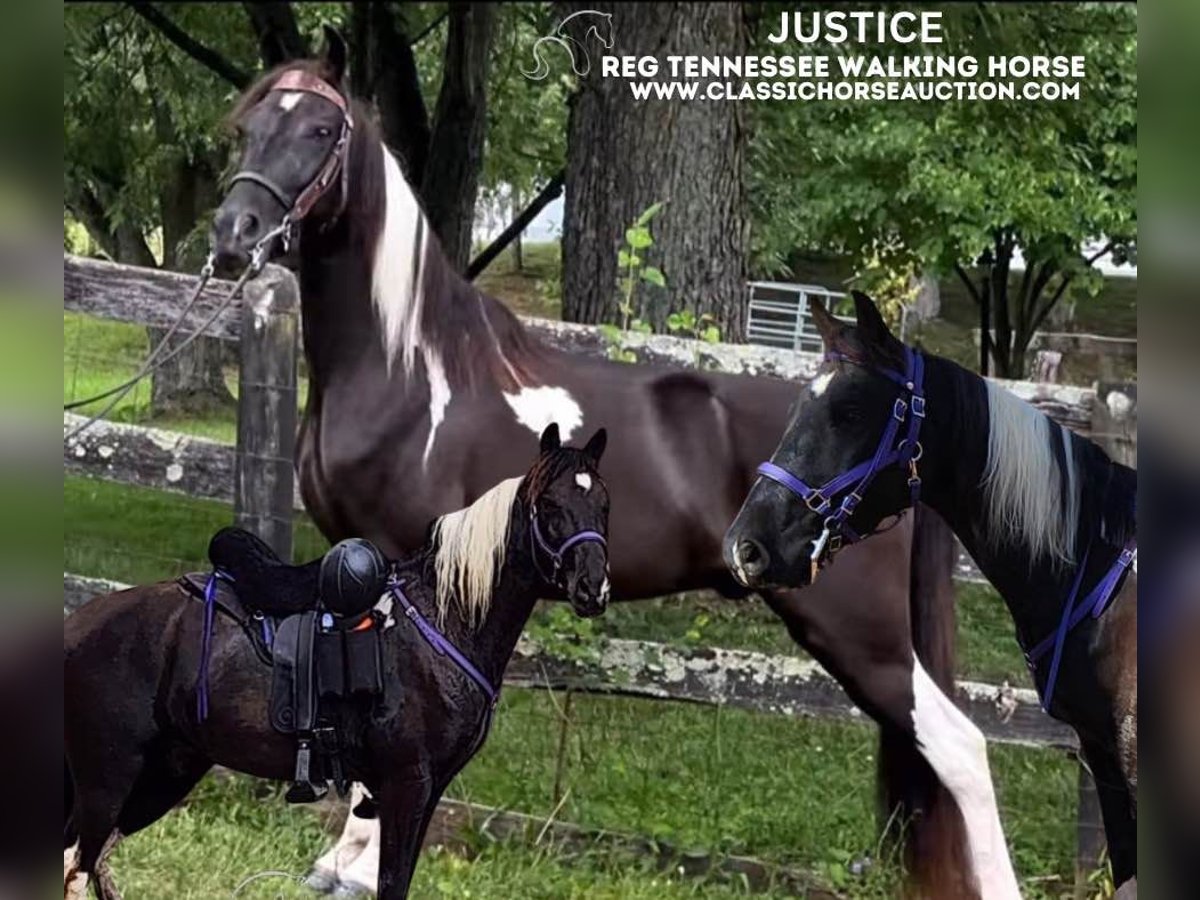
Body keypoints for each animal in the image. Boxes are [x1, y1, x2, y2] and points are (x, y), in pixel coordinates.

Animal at [65, 427, 609, 900]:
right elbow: (390, 885)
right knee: (76, 865)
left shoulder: (428, 790)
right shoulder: (407, 784)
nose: (593, 590)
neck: (445, 619)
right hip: (108, 779)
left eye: (604, 503)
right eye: (549, 505)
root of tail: (79, 622)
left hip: (166, 772)